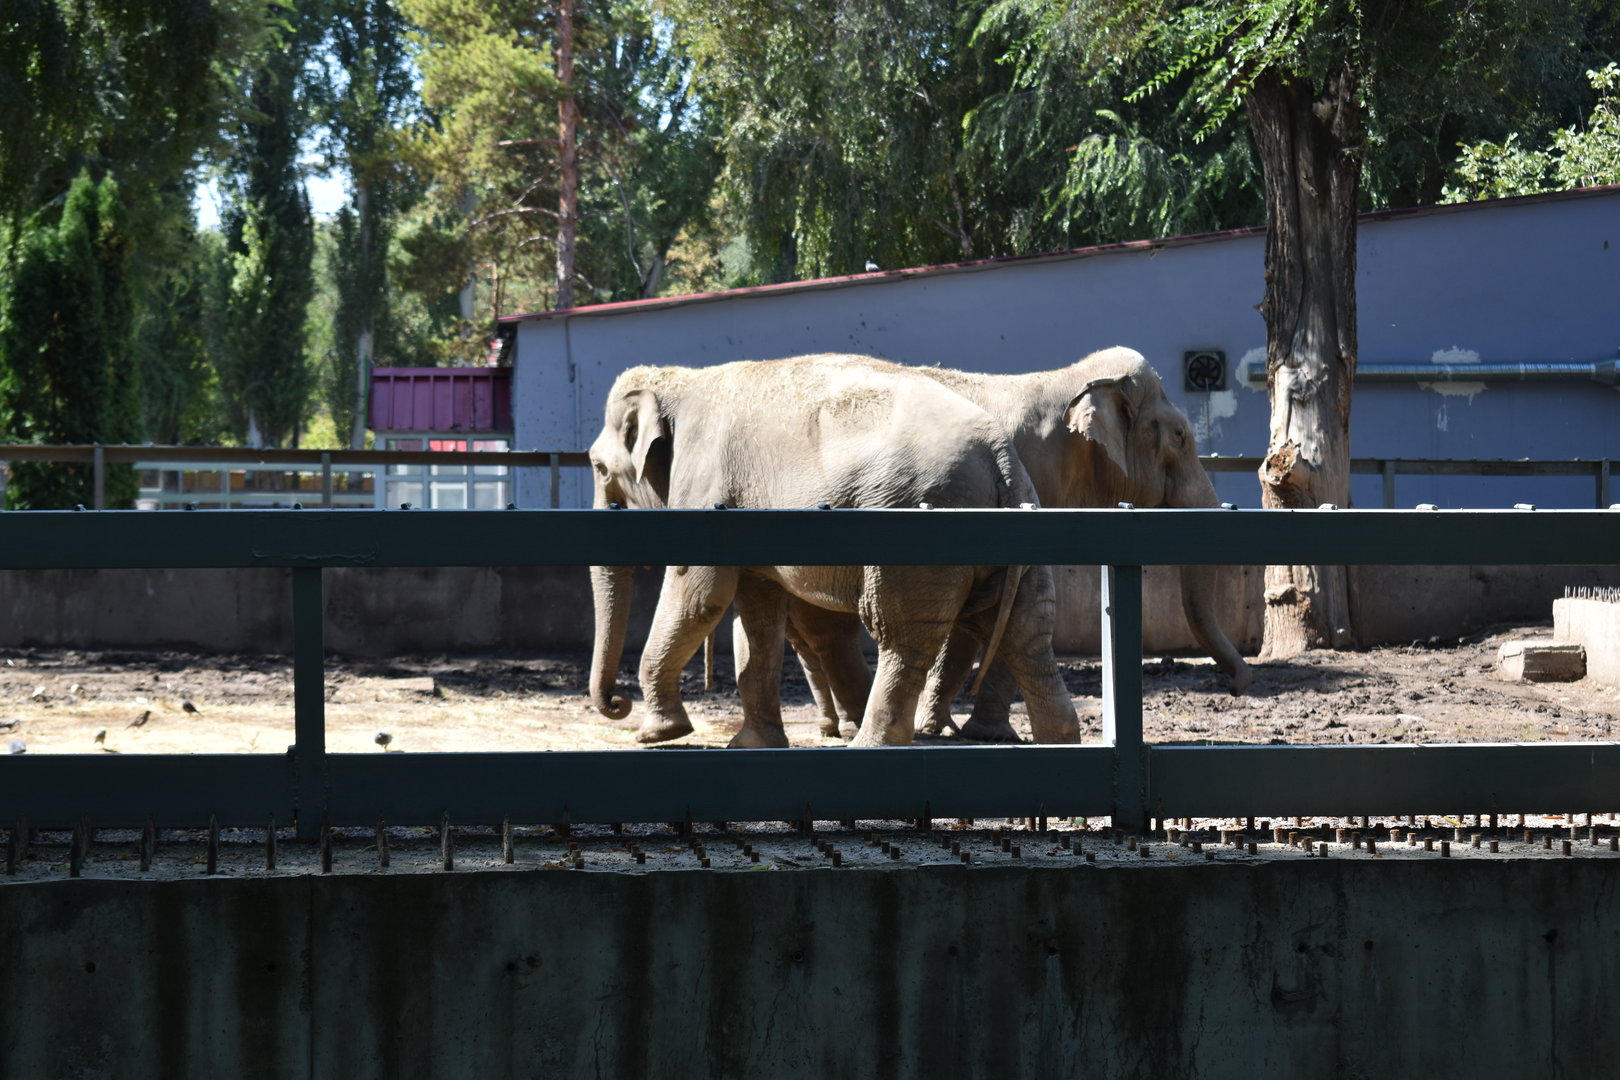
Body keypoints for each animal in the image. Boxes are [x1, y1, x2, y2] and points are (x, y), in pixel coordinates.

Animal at [587, 354, 1081, 748]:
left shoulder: (706, 483)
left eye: (597, 467)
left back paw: (870, 743)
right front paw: (749, 745)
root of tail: (1001, 456)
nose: (616, 702)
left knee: (902, 635)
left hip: (914, 529)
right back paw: (1060, 741)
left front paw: (657, 734)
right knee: (1027, 635)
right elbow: (757, 613)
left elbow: (699, 596)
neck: (684, 380)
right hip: (1024, 530)